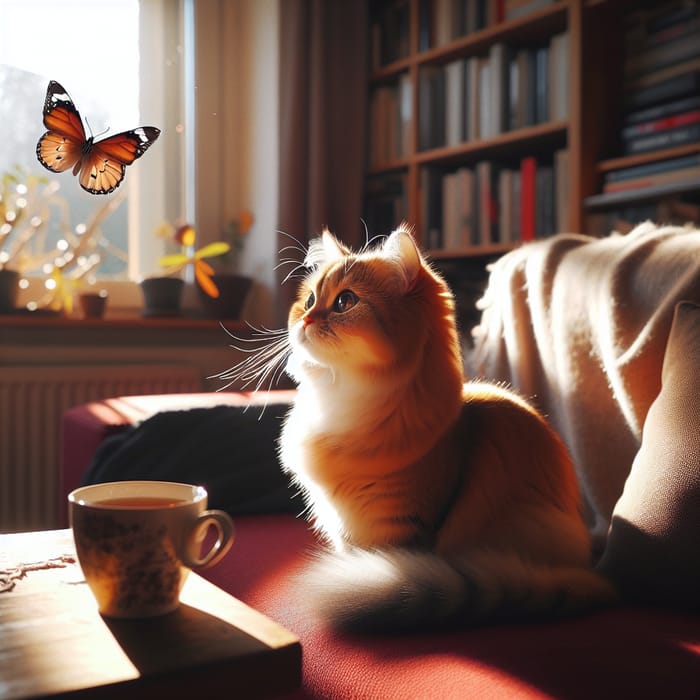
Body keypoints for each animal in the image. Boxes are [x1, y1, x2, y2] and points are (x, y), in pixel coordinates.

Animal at [249, 227, 616, 632]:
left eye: (345, 301)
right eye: (310, 300)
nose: (304, 321)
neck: (341, 399)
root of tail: (594, 575)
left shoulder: (400, 523)